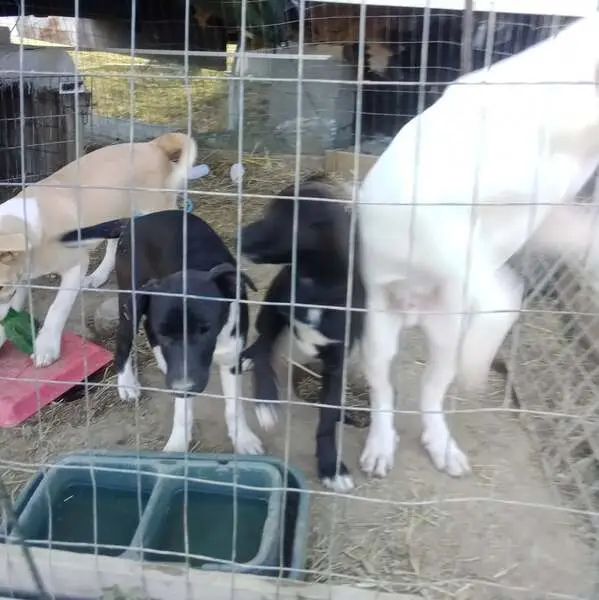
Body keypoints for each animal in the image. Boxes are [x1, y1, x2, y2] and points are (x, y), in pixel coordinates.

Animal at [0, 132, 197, 368]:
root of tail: (151, 145)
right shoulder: (23, 275)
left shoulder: (76, 264)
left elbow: (57, 308)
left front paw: (46, 347)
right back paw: (99, 276)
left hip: (156, 209)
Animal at [61, 209, 263, 454]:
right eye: (166, 334)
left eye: (205, 329)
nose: (182, 387)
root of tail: (136, 220)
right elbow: (182, 410)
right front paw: (177, 445)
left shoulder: (231, 354)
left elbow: (234, 405)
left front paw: (243, 439)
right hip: (130, 303)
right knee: (124, 342)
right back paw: (127, 383)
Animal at [240, 175, 365, 492]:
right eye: (269, 210)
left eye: (286, 219)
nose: (238, 235)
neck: (316, 287)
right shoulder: (275, 307)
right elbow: (264, 353)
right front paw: (266, 400)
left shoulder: (336, 363)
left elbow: (327, 420)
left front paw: (331, 465)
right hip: (270, 304)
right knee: (262, 341)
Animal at [356, 14, 599, 479]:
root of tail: (415, 314)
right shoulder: (441, 216)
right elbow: (504, 294)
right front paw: (477, 372)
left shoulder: (547, 212)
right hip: (378, 331)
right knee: (383, 390)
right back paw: (379, 453)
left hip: (443, 338)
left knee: (431, 392)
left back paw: (447, 453)